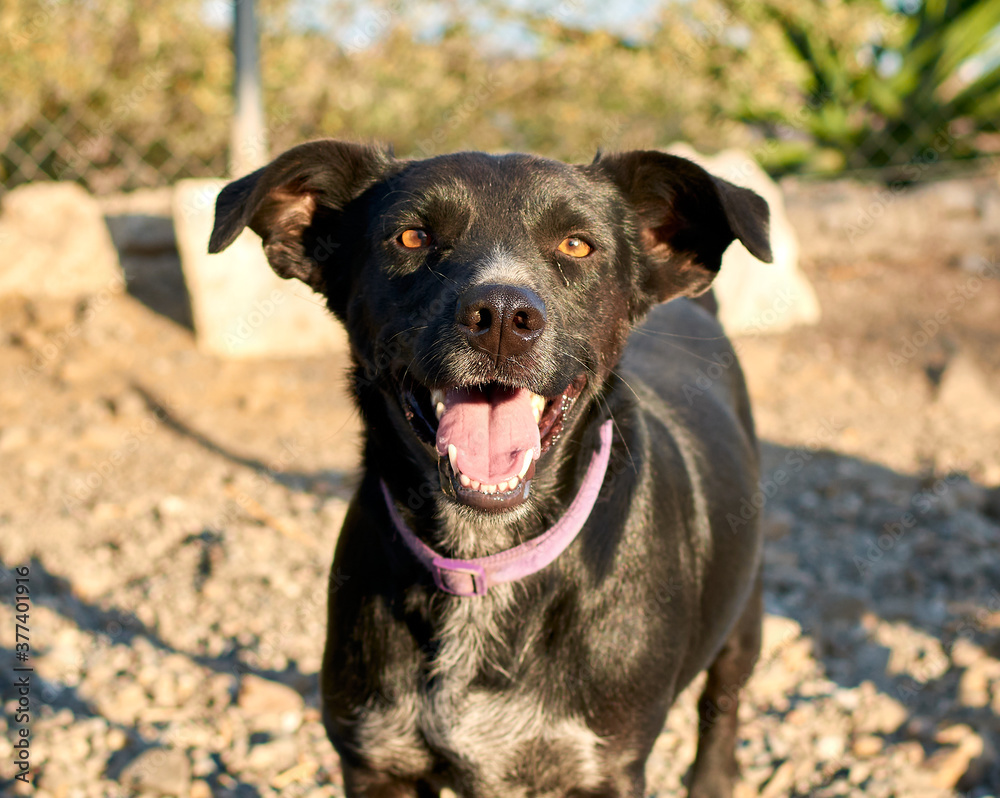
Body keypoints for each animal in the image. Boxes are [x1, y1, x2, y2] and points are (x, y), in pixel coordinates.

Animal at [209, 141, 772, 796]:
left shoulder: (601, 769)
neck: (484, 558)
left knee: (721, 706)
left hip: (744, 618)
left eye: (577, 244)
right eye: (412, 236)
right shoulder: (376, 760)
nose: (502, 316)